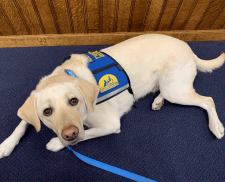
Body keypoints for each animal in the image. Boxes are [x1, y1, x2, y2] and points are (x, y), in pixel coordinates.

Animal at [0, 33, 225, 158]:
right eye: (46, 111)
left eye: (74, 101)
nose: (69, 133)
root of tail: (188, 47)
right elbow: (23, 122)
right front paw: (7, 144)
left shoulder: (110, 124)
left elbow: (86, 133)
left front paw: (56, 143)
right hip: (170, 86)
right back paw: (158, 100)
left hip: (175, 89)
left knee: (208, 100)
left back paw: (216, 126)